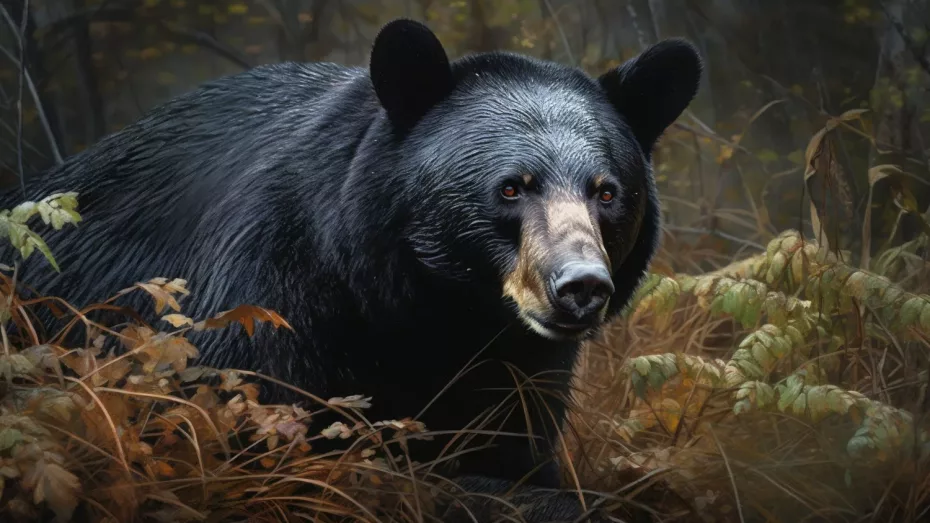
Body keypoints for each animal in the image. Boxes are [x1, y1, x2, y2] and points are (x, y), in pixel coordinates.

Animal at [0, 16, 696, 520]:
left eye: (607, 192)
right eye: (510, 188)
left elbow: (511, 446)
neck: (436, 311)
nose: (581, 287)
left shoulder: (522, 370)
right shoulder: (261, 305)